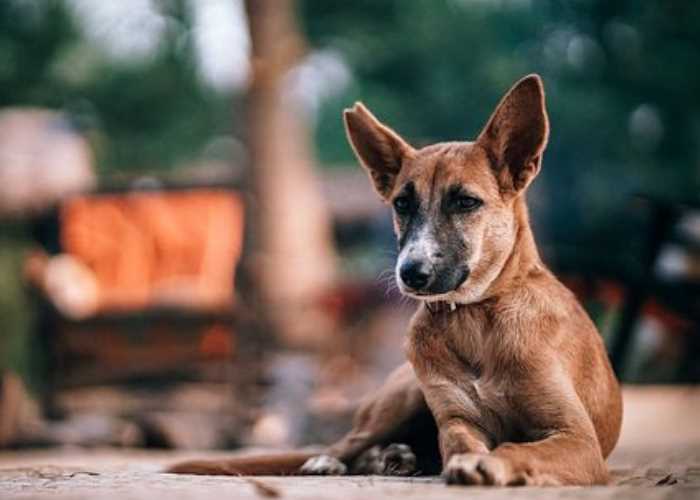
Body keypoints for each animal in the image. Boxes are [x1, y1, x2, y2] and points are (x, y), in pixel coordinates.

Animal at [167, 74, 620, 484]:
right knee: (349, 441)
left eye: (466, 202)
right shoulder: (456, 420)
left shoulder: (577, 439)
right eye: (402, 204)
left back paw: (396, 458)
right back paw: (342, 460)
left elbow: (517, 447)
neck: (474, 317)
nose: (411, 273)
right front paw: (468, 460)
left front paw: (490, 464)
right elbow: (461, 441)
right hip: (402, 397)